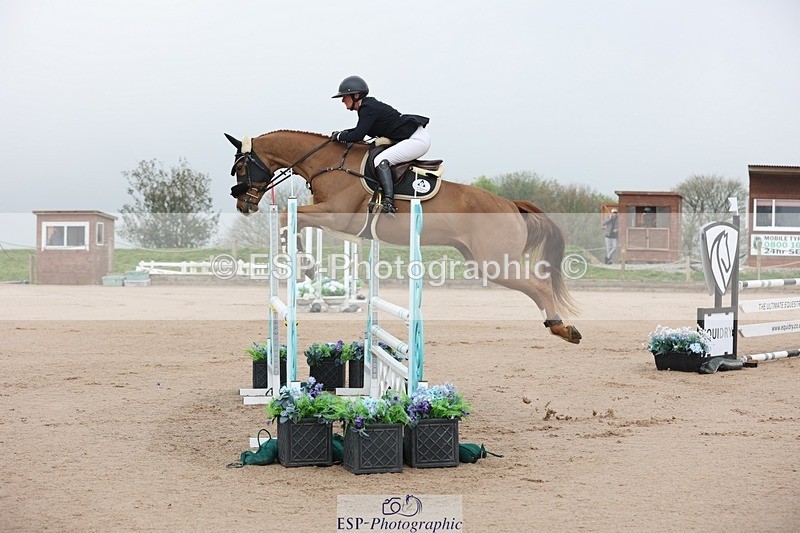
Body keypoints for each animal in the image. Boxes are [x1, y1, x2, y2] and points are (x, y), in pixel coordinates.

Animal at [225, 130, 581, 344]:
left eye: (241, 167)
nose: (243, 205)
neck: (328, 163)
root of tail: (509, 204)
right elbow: (295, 219)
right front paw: (304, 263)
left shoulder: (338, 215)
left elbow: (289, 216)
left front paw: (305, 264)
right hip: (481, 262)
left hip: (495, 262)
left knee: (539, 285)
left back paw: (562, 328)